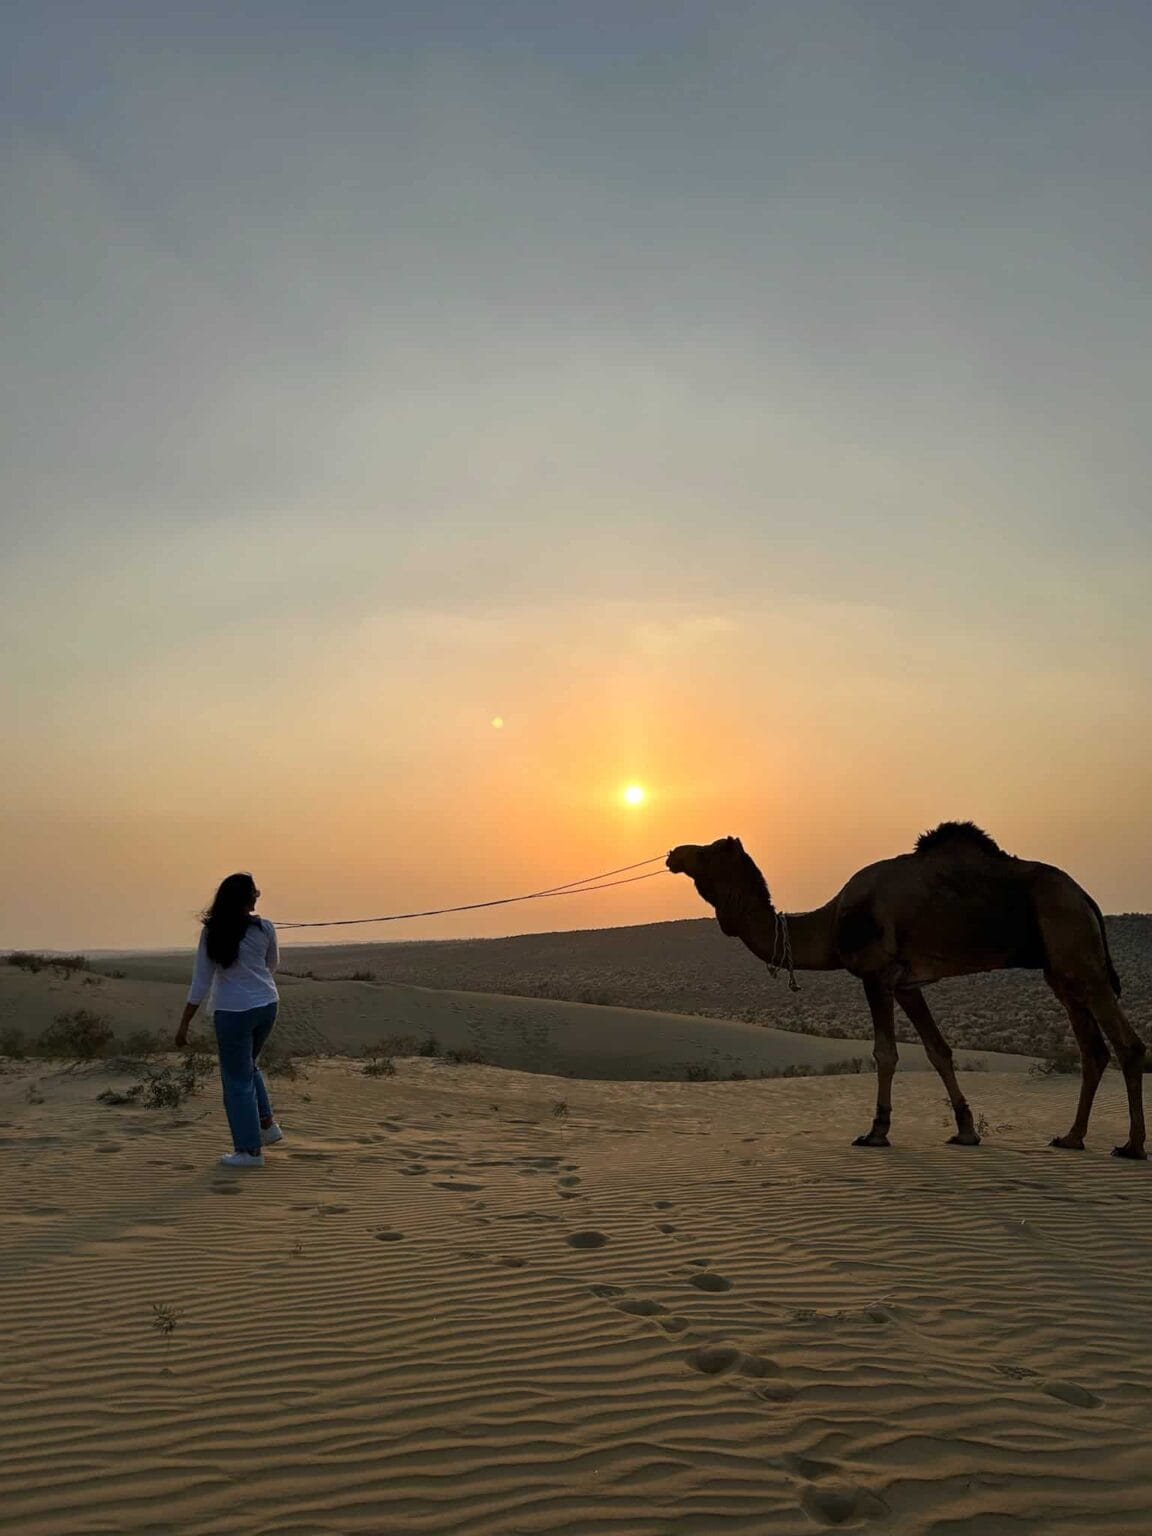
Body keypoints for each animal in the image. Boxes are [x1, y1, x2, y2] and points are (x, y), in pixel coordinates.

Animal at [666, 822, 1146, 1158]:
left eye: (709, 850)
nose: (674, 852)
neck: (832, 922)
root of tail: (1085, 897)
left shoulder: (876, 973)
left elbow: (885, 1053)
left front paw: (876, 1132)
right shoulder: (906, 982)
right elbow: (938, 1051)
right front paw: (966, 1131)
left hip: (1078, 952)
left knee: (1128, 1045)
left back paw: (1132, 1146)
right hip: (1059, 970)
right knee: (1092, 1049)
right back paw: (1072, 1137)